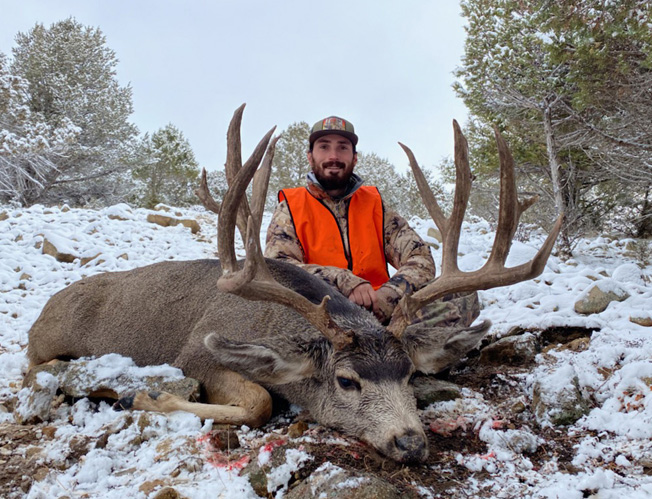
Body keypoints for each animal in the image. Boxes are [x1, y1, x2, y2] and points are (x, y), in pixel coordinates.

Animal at [25, 104, 562, 463]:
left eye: (409, 374)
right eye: (346, 381)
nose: (410, 443)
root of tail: (45, 308)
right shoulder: (195, 355)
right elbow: (260, 402)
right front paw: (142, 397)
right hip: (47, 343)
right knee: (35, 369)